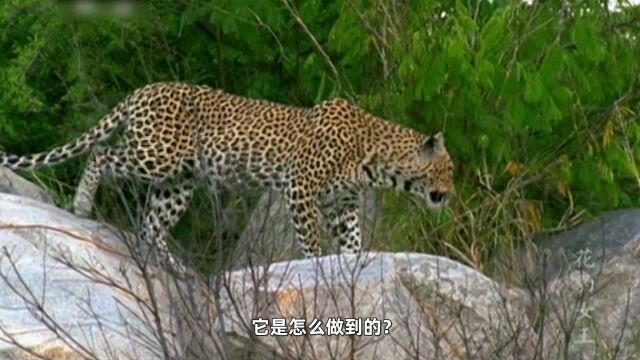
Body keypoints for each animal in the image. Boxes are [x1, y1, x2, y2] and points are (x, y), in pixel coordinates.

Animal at [0, 83, 456, 270]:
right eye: (448, 170)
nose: (450, 194)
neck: (375, 159)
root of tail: (143, 90)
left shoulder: (342, 204)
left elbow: (353, 239)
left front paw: (351, 262)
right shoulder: (301, 188)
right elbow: (310, 238)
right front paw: (317, 265)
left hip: (178, 182)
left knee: (152, 224)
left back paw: (172, 266)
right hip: (156, 156)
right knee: (101, 153)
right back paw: (81, 204)